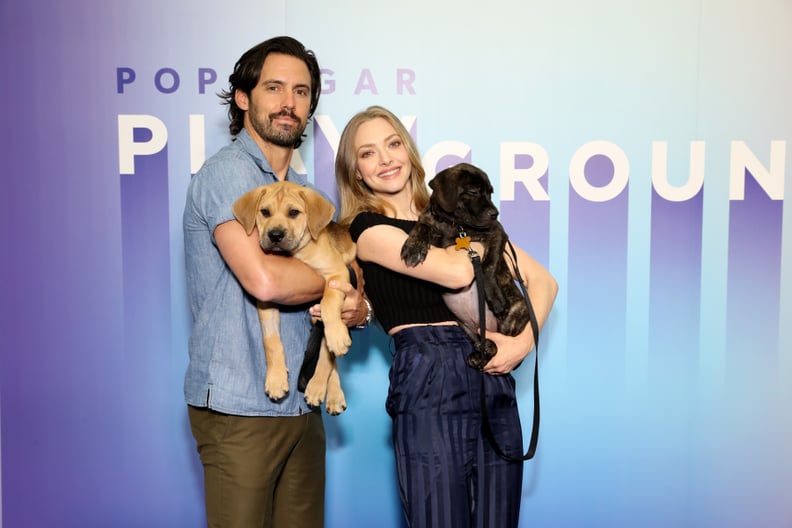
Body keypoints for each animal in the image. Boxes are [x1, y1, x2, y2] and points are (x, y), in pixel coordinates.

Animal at [232, 182, 356, 416]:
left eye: (294, 213)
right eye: (265, 212)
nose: (275, 235)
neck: (295, 254)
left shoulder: (337, 274)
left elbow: (328, 305)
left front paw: (336, 335)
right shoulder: (267, 301)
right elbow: (271, 341)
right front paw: (275, 379)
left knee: (327, 353)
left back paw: (318, 386)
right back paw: (332, 394)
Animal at [400, 163, 528, 370]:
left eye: (490, 192)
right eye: (473, 191)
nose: (495, 214)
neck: (453, 224)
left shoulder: (497, 232)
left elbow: (489, 264)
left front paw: (494, 296)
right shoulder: (430, 225)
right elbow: (421, 227)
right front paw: (413, 246)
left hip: (512, 317)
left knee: (501, 346)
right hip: (464, 325)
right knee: (487, 345)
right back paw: (480, 354)